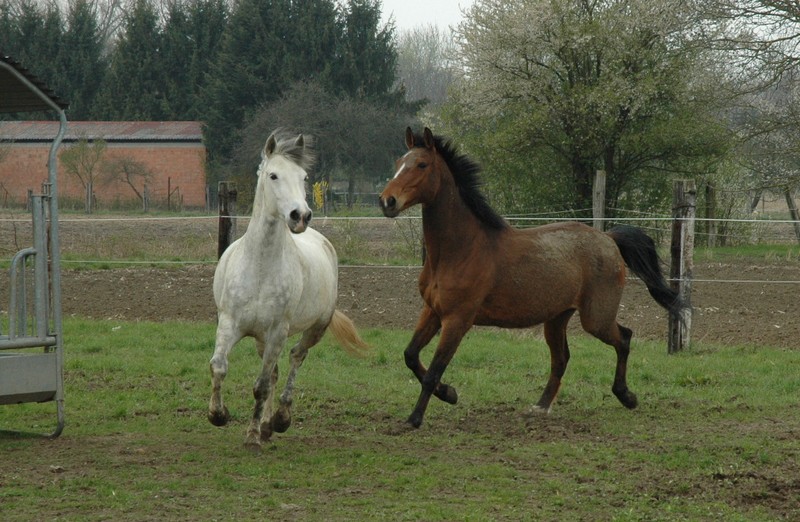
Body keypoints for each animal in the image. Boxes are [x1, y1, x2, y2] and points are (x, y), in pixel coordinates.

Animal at [206, 130, 368, 446]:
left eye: (304, 177)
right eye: (273, 175)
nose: (300, 216)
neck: (259, 267)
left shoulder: (277, 332)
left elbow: (261, 386)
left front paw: (253, 436)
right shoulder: (230, 324)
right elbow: (219, 366)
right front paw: (218, 415)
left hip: (314, 328)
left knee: (295, 358)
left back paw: (279, 420)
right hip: (260, 338)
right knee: (276, 372)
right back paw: (268, 425)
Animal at [382, 127, 680, 426]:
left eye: (422, 164)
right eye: (398, 163)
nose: (387, 201)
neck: (460, 250)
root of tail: (609, 238)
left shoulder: (457, 320)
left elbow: (433, 371)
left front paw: (415, 418)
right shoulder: (432, 311)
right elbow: (410, 355)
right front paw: (450, 394)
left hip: (596, 319)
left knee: (624, 338)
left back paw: (626, 396)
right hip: (558, 317)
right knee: (562, 358)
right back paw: (541, 406)